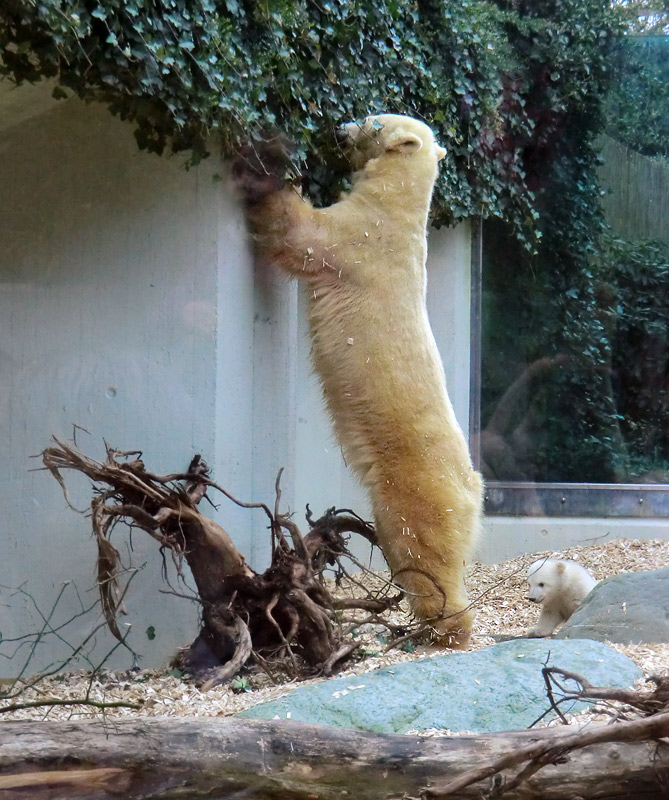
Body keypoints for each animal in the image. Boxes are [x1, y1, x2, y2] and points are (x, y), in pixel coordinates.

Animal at [240, 114, 480, 648]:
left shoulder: (357, 240)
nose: (337, 128)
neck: (397, 208)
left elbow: (301, 233)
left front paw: (263, 157)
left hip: (413, 481)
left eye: (372, 120)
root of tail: (473, 486)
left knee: (419, 547)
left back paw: (443, 628)